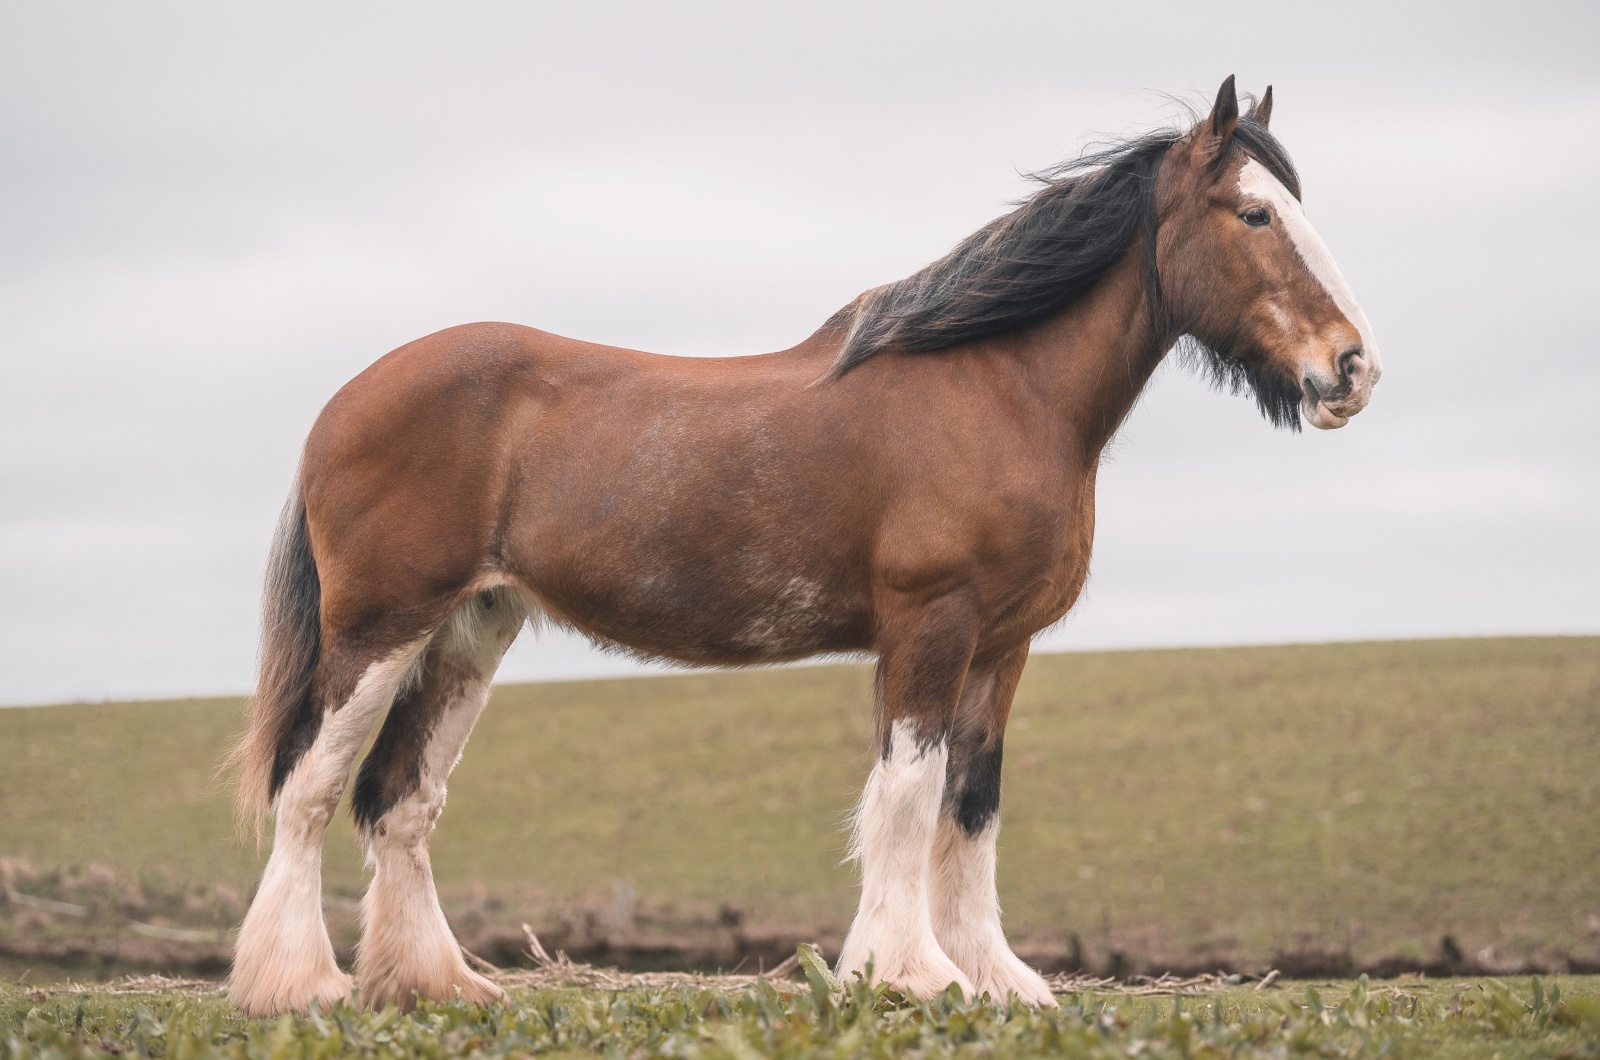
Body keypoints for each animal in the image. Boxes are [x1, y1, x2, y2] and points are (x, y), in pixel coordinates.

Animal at [222, 78, 1376, 1018]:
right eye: (1255, 212)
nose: (1352, 368)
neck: (1002, 390)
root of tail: (344, 401)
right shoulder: (930, 624)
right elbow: (907, 795)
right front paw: (914, 974)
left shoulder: (1002, 648)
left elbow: (973, 807)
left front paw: (996, 977)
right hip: (382, 625)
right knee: (312, 788)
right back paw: (299, 983)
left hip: (470, 628)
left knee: (399, 800)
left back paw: (438, 984)